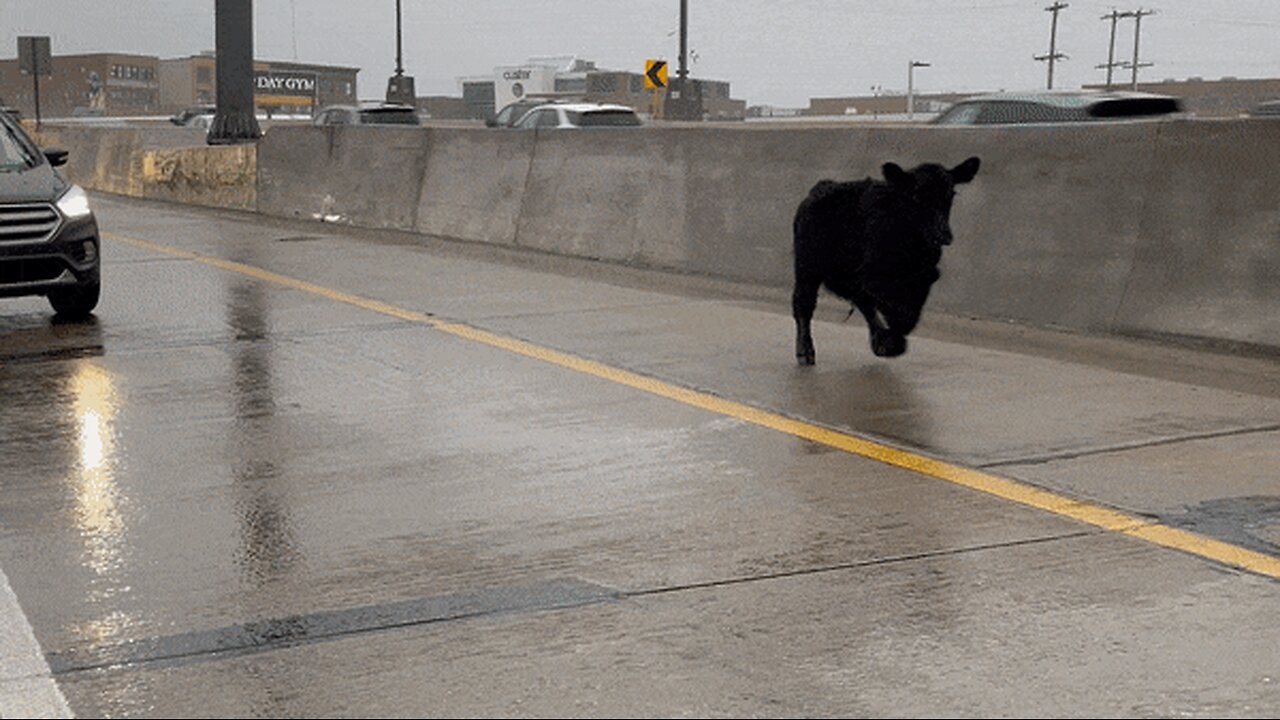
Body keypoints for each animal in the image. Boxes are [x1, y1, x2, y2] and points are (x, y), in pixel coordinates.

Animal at [788, 159, 977, 366]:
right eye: (917, 196)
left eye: (951, 194)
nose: (944, 234)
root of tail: (820, 187)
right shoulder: (876, 279)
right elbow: (893, 311)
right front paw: (893, 342)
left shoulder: (923, 279)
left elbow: (906, 313)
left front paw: (889, 342)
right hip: (807, 268)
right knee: (804, 304)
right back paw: (805, 351)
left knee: (862, 302)